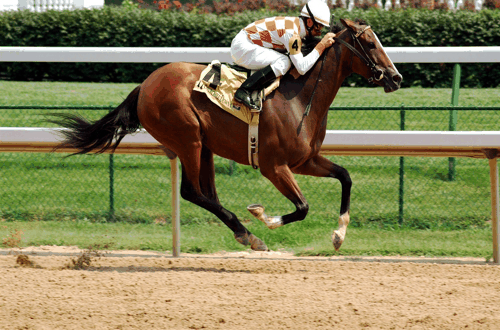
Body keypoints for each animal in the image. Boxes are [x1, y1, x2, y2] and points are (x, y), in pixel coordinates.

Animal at [50, 18, 402, 250]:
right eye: (370, 43)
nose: (396, 77)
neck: (301, 97)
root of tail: (144, 85)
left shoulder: (305, 160)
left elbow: (345, 177)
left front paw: (339, 235)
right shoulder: (274, 166)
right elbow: (302, 207)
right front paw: (263, 216)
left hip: (204, 145)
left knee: (208, 194)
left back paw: (243, 232)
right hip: (187, 138)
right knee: (192, 192)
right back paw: (249, 233)